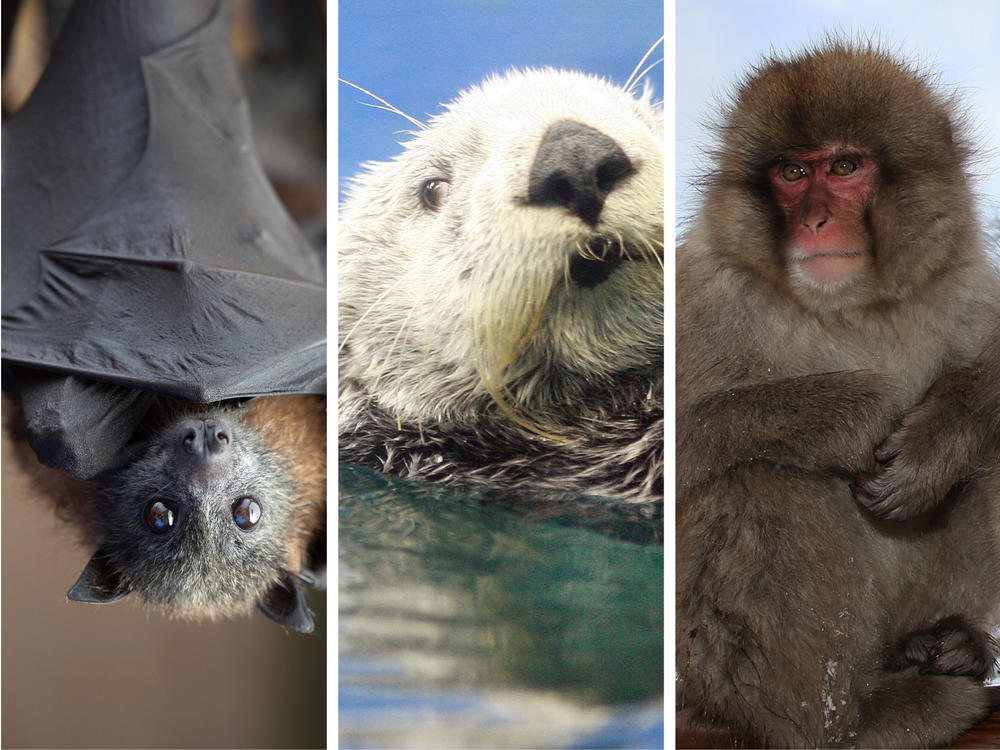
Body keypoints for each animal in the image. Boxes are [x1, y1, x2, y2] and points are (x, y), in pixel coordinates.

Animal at [676, 42, 1000, 750]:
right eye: (793, 173)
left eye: (845, 167)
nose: (816, 220)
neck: (850, 306)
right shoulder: (707, 294)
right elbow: (681, 445)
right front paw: (853, 417)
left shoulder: (964, 278)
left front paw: (935, 442)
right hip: (698, 674)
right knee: (761, 479)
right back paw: (840, 724)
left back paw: (944, 642)